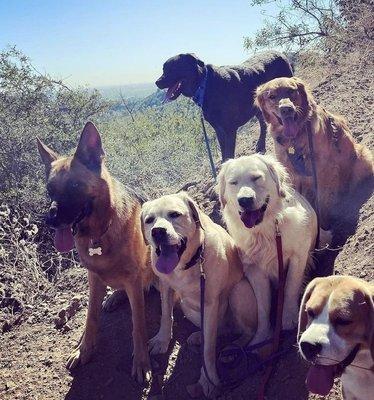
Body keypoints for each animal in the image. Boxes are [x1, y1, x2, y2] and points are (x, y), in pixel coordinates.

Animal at [155, 50, 292, 160]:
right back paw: (261, 145)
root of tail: (280, 53)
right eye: (163, 69)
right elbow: (224, 154)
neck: (205, 85)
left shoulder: (229, 130)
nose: (157, 82)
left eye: (173, 68)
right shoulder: (219, 129)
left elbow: (229, 154)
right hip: (257, 108)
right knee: (263, 124)